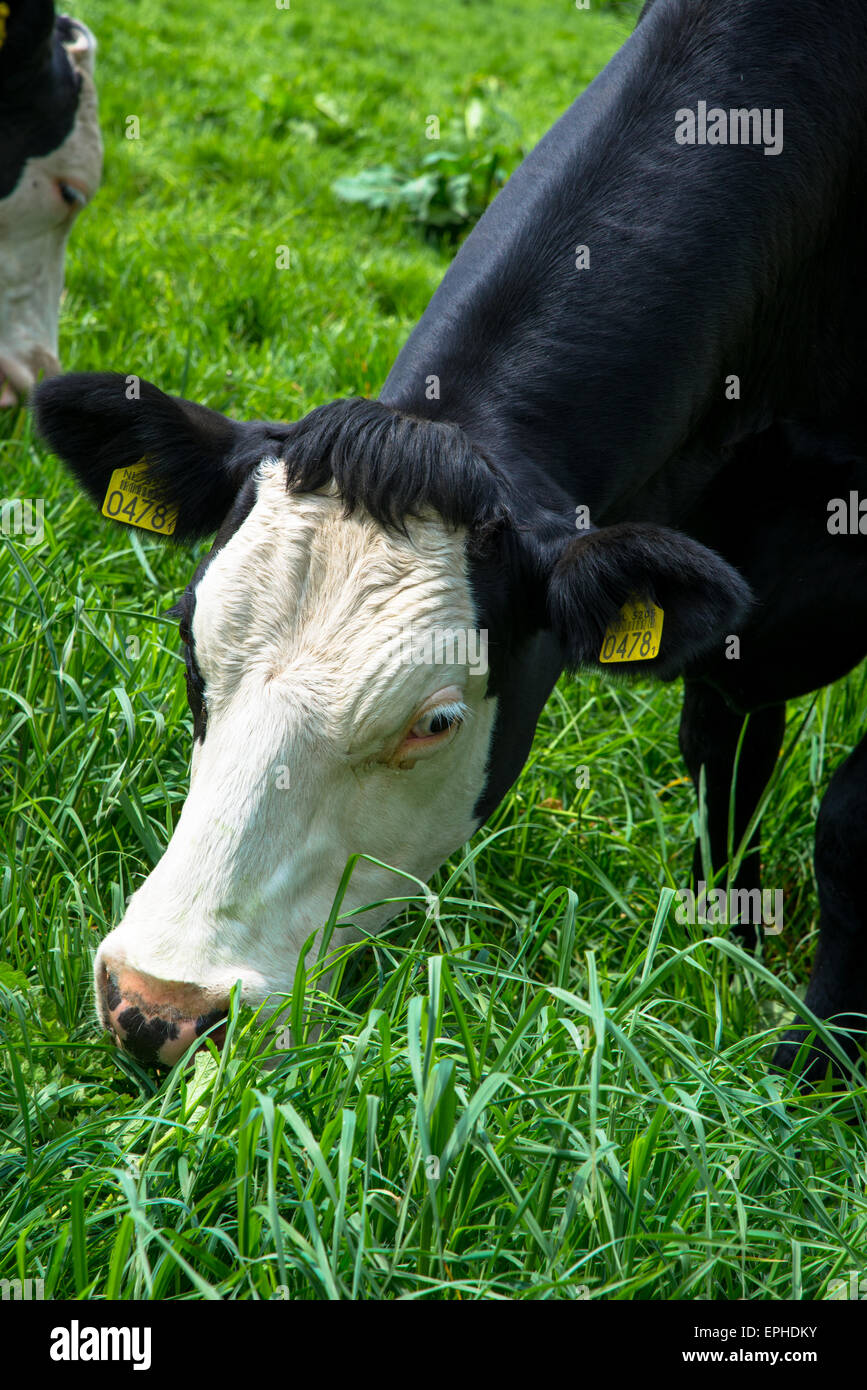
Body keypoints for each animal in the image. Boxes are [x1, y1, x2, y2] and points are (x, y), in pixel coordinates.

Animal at [33, 0, 867, 1078]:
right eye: (188, 644)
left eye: (434, 722)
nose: (155, 1006)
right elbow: (723, 758)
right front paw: (733, 957)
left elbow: (848, 823)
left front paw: (815, 1063)